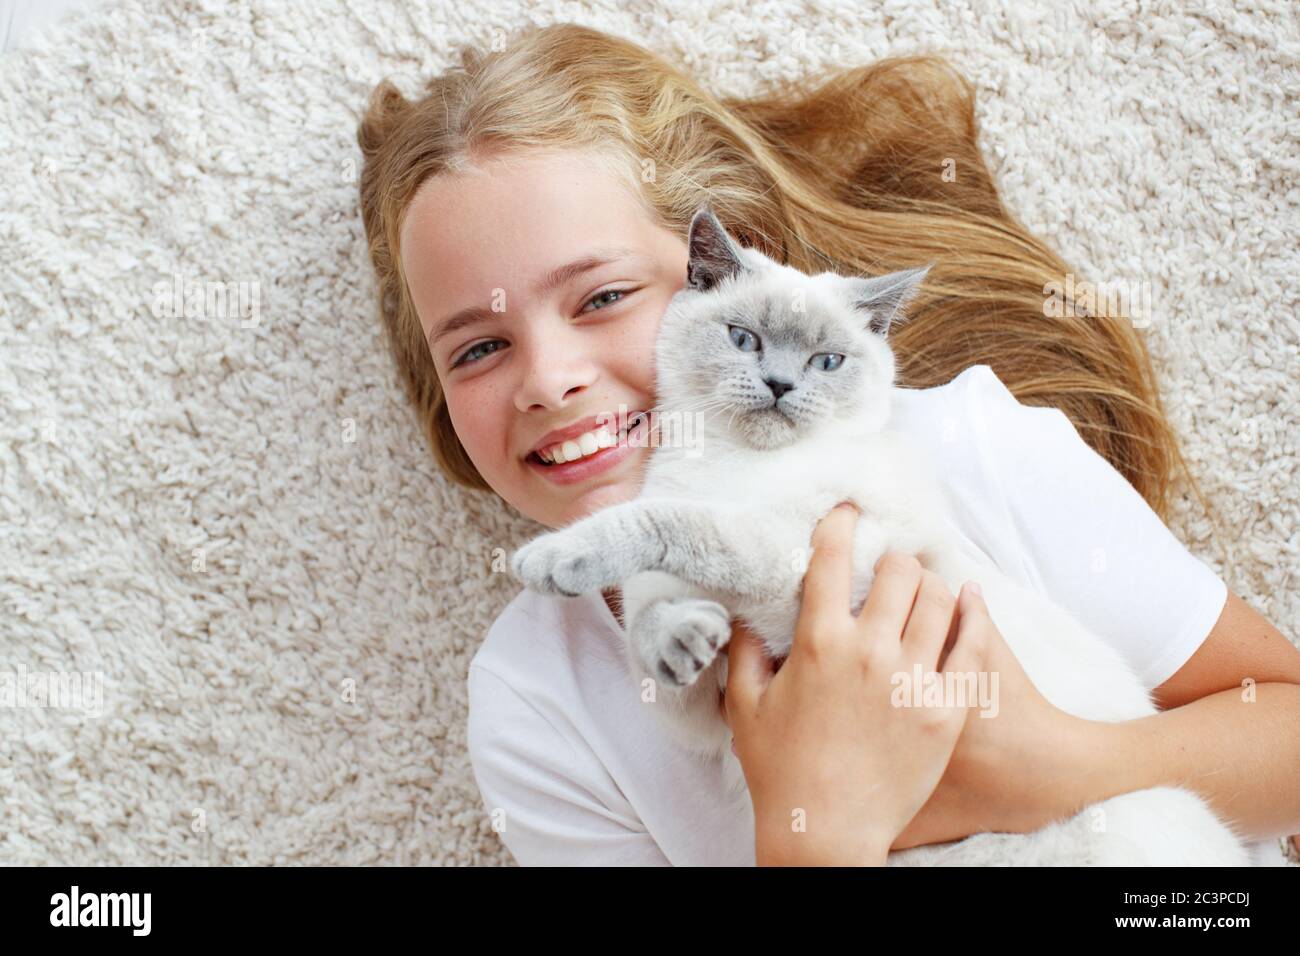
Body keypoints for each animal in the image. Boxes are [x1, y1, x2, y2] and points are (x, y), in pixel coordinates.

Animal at [506, 204, 1248, 868]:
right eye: (744, 340)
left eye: (827, 362)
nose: (779, 384)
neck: (725, 463)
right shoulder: (709, 713)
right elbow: (651, 631)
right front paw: (687, 638)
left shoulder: (805, 561)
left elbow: (673, 524)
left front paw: (550, 558)